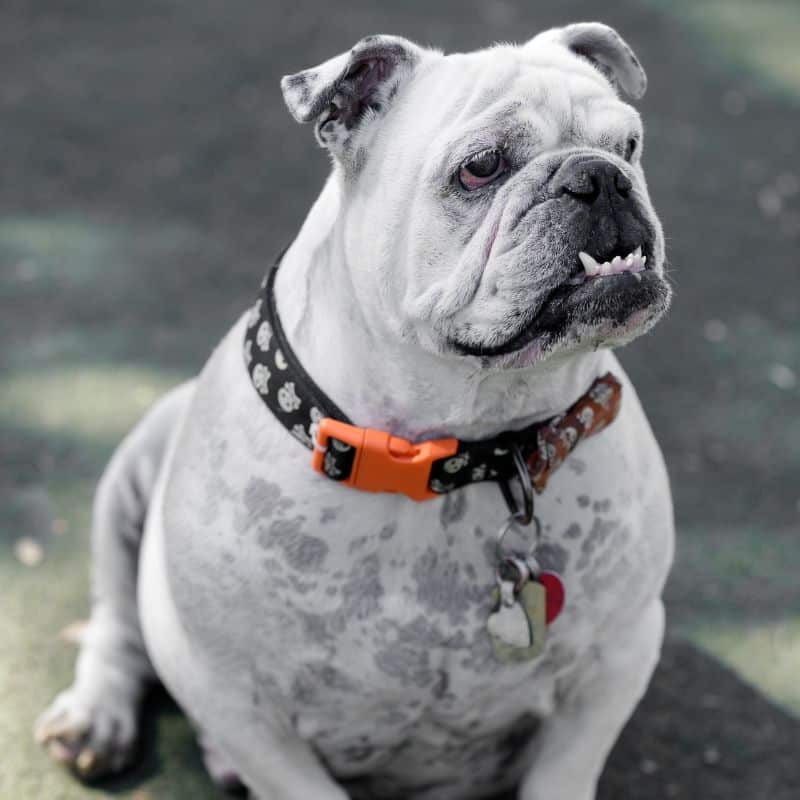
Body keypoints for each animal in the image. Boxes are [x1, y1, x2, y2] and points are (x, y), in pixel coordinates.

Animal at [37, 23, 676, 800]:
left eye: (629, 146)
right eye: (482, 167)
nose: (599, 176)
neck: (454, 452)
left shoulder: (614, 665)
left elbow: (564, 772)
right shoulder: (236, 700)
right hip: (132, 471)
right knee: (115, 619)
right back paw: (95, 715)